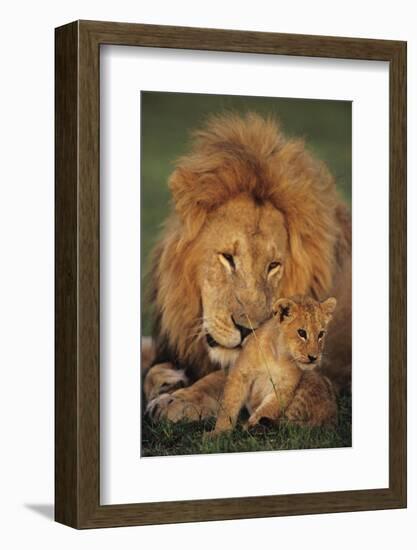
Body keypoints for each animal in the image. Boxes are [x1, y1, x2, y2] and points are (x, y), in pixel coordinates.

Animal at [143, 111, 352, 422]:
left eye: (274, 265)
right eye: (228, 258)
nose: (247, 331)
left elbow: (225, 379)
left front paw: (177, 399)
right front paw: (169, 377)